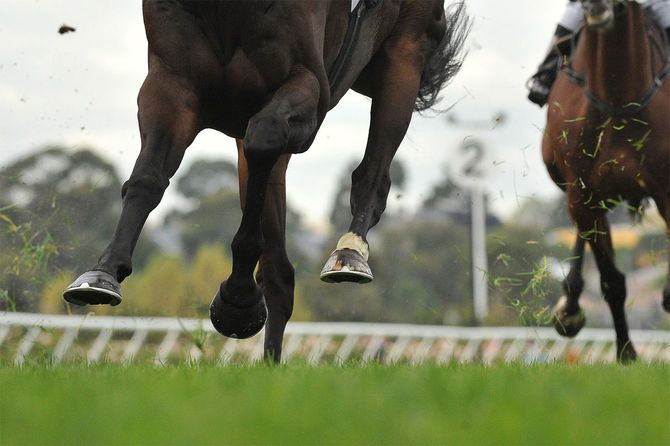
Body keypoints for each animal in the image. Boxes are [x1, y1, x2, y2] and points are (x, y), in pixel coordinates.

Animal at [62, 0, 470, 362]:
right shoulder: (171, 85)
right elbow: (148, 177)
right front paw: (103, 273)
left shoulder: (308, 88)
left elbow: (265, 137)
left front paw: (239, 298)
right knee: (279, 274)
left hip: (404, 56)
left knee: (372, 176)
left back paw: (350, 253)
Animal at [543, 0, 670, 362]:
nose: (595, 5)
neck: (618, 94)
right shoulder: (584, 194)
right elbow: (612, 281)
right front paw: (626, 353)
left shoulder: (666, 190)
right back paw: (569, 307)